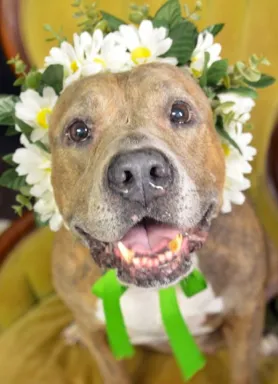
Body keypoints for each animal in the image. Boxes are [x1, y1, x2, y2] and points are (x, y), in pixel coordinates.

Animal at [49, 63, 278, 384]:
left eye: (179, 113)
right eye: (78, 130)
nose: (139, 172)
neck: (155, 289)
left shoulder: (244, 315)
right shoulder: (97, 338)